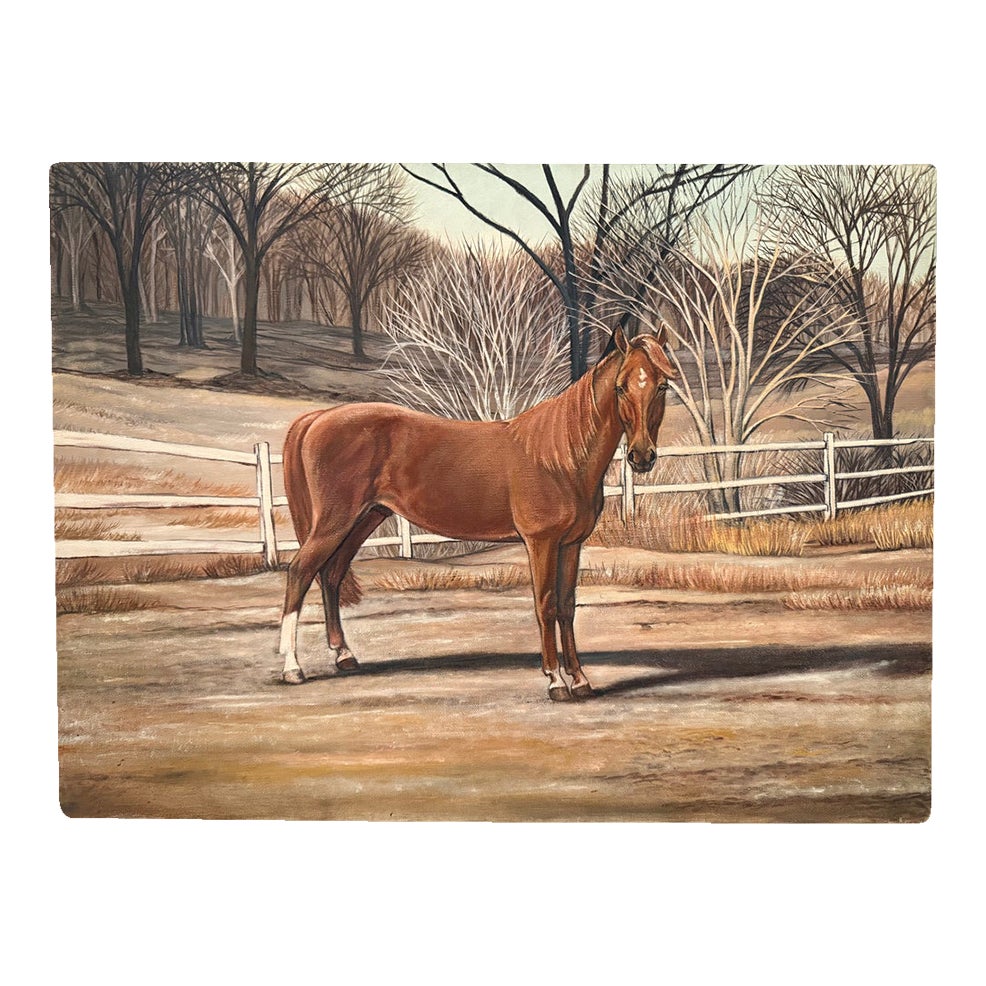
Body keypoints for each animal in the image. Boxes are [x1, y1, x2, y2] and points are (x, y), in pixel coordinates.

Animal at [277, 326, 677, 701]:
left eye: (662, 387)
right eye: (621, 387)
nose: (641, 457)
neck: (561, 456)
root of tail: (317, 418)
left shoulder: (571, 544)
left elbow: (566, 607)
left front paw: (580, 680)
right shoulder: (541, 542)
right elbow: (545, 605)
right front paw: (555, 681)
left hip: (364, 519)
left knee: (331, 575)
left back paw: (344, 655)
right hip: (335, 522)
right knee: (299, 573)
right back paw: (292, 669)